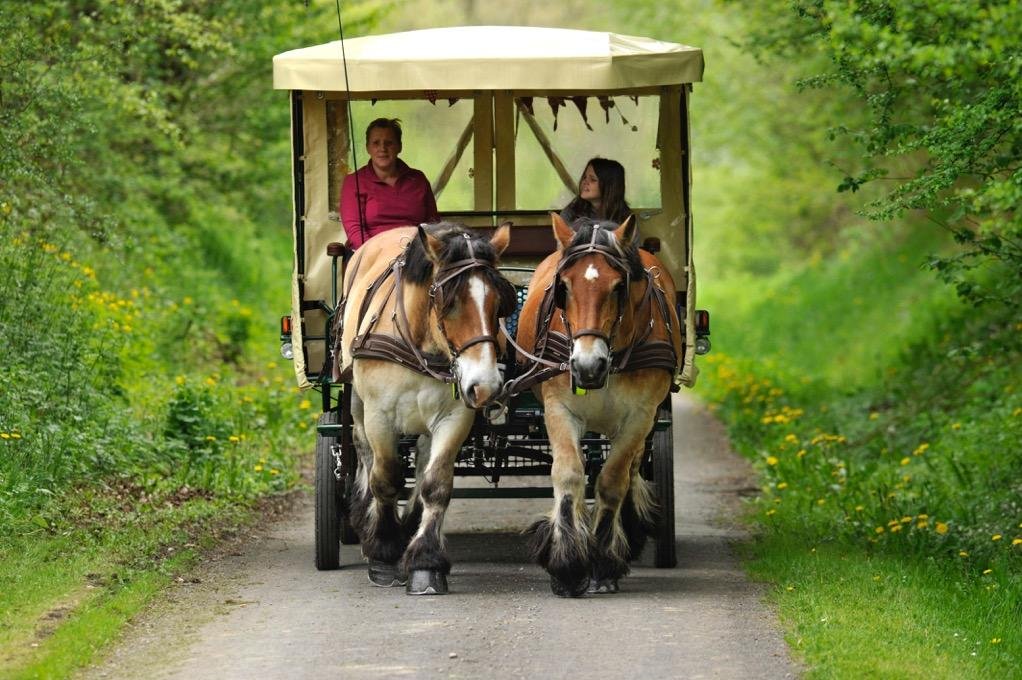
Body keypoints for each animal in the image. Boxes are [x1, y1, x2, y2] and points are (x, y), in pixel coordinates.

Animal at [333, 222, 510, 593]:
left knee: (422, 459)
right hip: (356, 398)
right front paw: (383, 550)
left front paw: (425, 561)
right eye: (449, 302)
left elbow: (435, 483)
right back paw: (365, 516)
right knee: (363, 451)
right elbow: (386, 477)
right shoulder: (380, 415)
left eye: (500, 303)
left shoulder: (455, 417)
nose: (485, 386)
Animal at [515, 212, 682, 593]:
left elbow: (611, 481)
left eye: (619, 287)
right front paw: (566, 561)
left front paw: (603, 562)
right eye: (563, 287)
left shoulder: (640, 416)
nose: (588, 366)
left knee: (630, 470)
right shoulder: (557, 408)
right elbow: (569, 473)